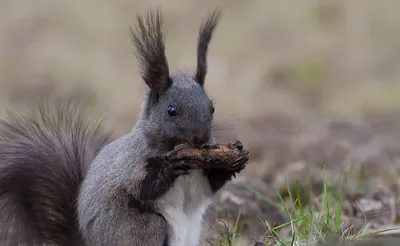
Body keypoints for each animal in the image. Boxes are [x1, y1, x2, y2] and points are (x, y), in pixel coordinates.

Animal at [0, 7, 248, 246]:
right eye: (171, 110)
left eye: (212, 108)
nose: (202, 138)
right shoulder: (131, 165)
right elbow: (143, 188)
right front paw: (171, 167)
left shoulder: (198, 181)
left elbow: (210, 185)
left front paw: (236, 160)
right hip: (140, 228)